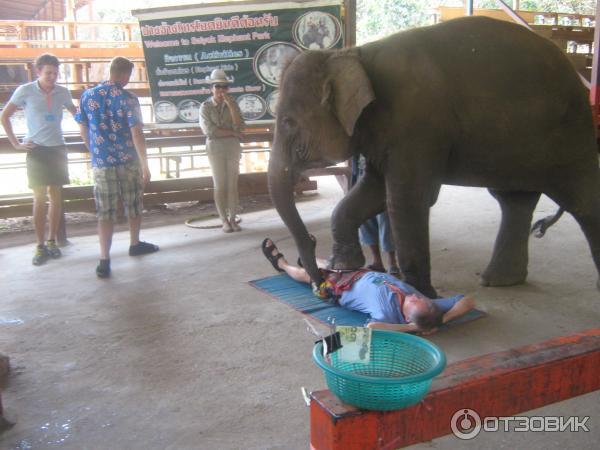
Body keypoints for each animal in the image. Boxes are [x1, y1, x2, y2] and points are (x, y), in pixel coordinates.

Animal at [268, 16, 600, 298]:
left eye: (287, 122)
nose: (320, 284)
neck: (350, 53)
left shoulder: (416, 126)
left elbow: (406, 199)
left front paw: (420, 295)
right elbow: (371, 192)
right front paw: (345, 266)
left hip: (571, 137)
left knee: (582, 202)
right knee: (514, 202)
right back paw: (498, 282)